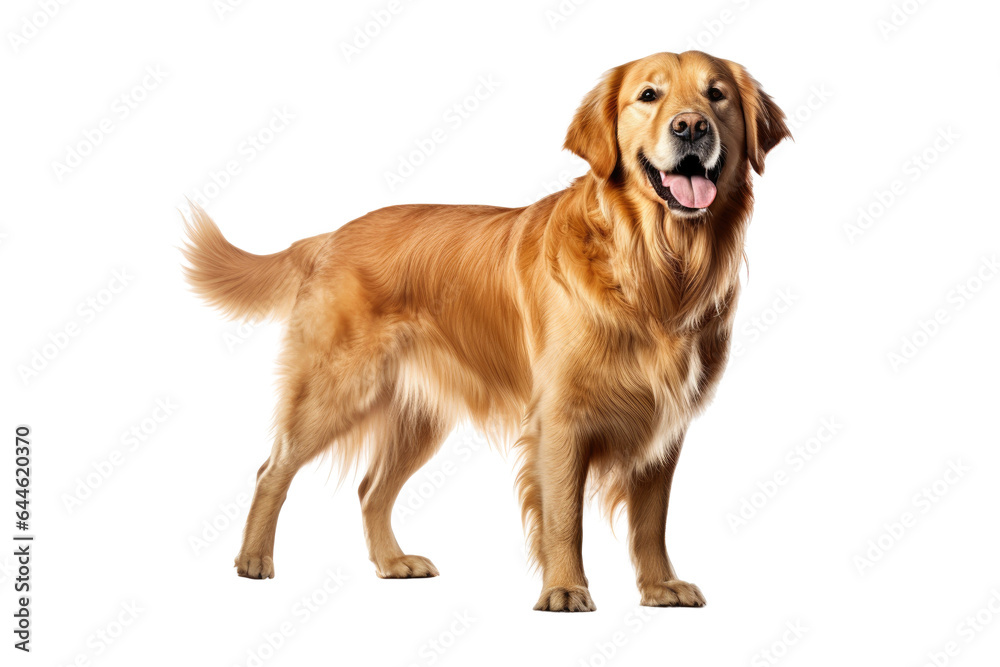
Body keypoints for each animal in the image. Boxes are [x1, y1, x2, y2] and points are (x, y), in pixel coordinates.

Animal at [180, 51, 788, 616]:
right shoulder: (561, 419)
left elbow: (651, 520)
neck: (654, 267)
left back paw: (392, 561)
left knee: (371, 488)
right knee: (272, 469)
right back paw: (254, 558)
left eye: (716, 94)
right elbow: (565, 517)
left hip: (419, 416)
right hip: (334, 388)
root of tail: (330, 237)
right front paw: (565, 589)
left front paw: (660, 586)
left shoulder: (664, 426)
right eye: (648, 95)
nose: (691, 127)